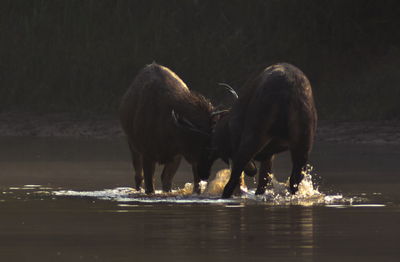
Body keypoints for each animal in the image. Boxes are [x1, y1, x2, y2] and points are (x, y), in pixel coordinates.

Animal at [120, 63, 217, 194]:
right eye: (199, 143)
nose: (205, 175)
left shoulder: (176, 156)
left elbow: (166, 181)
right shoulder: (147, 154)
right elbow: (149, 185)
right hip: (132, 145)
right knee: (138, 175)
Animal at [202, 63, 318, 198]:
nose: (204, 173)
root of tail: (289, 92)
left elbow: (248, 171)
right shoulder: (269, 155)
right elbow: (263, 181)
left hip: (254, 135)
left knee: (232, 180)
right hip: (303, 144)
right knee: (294, 179)